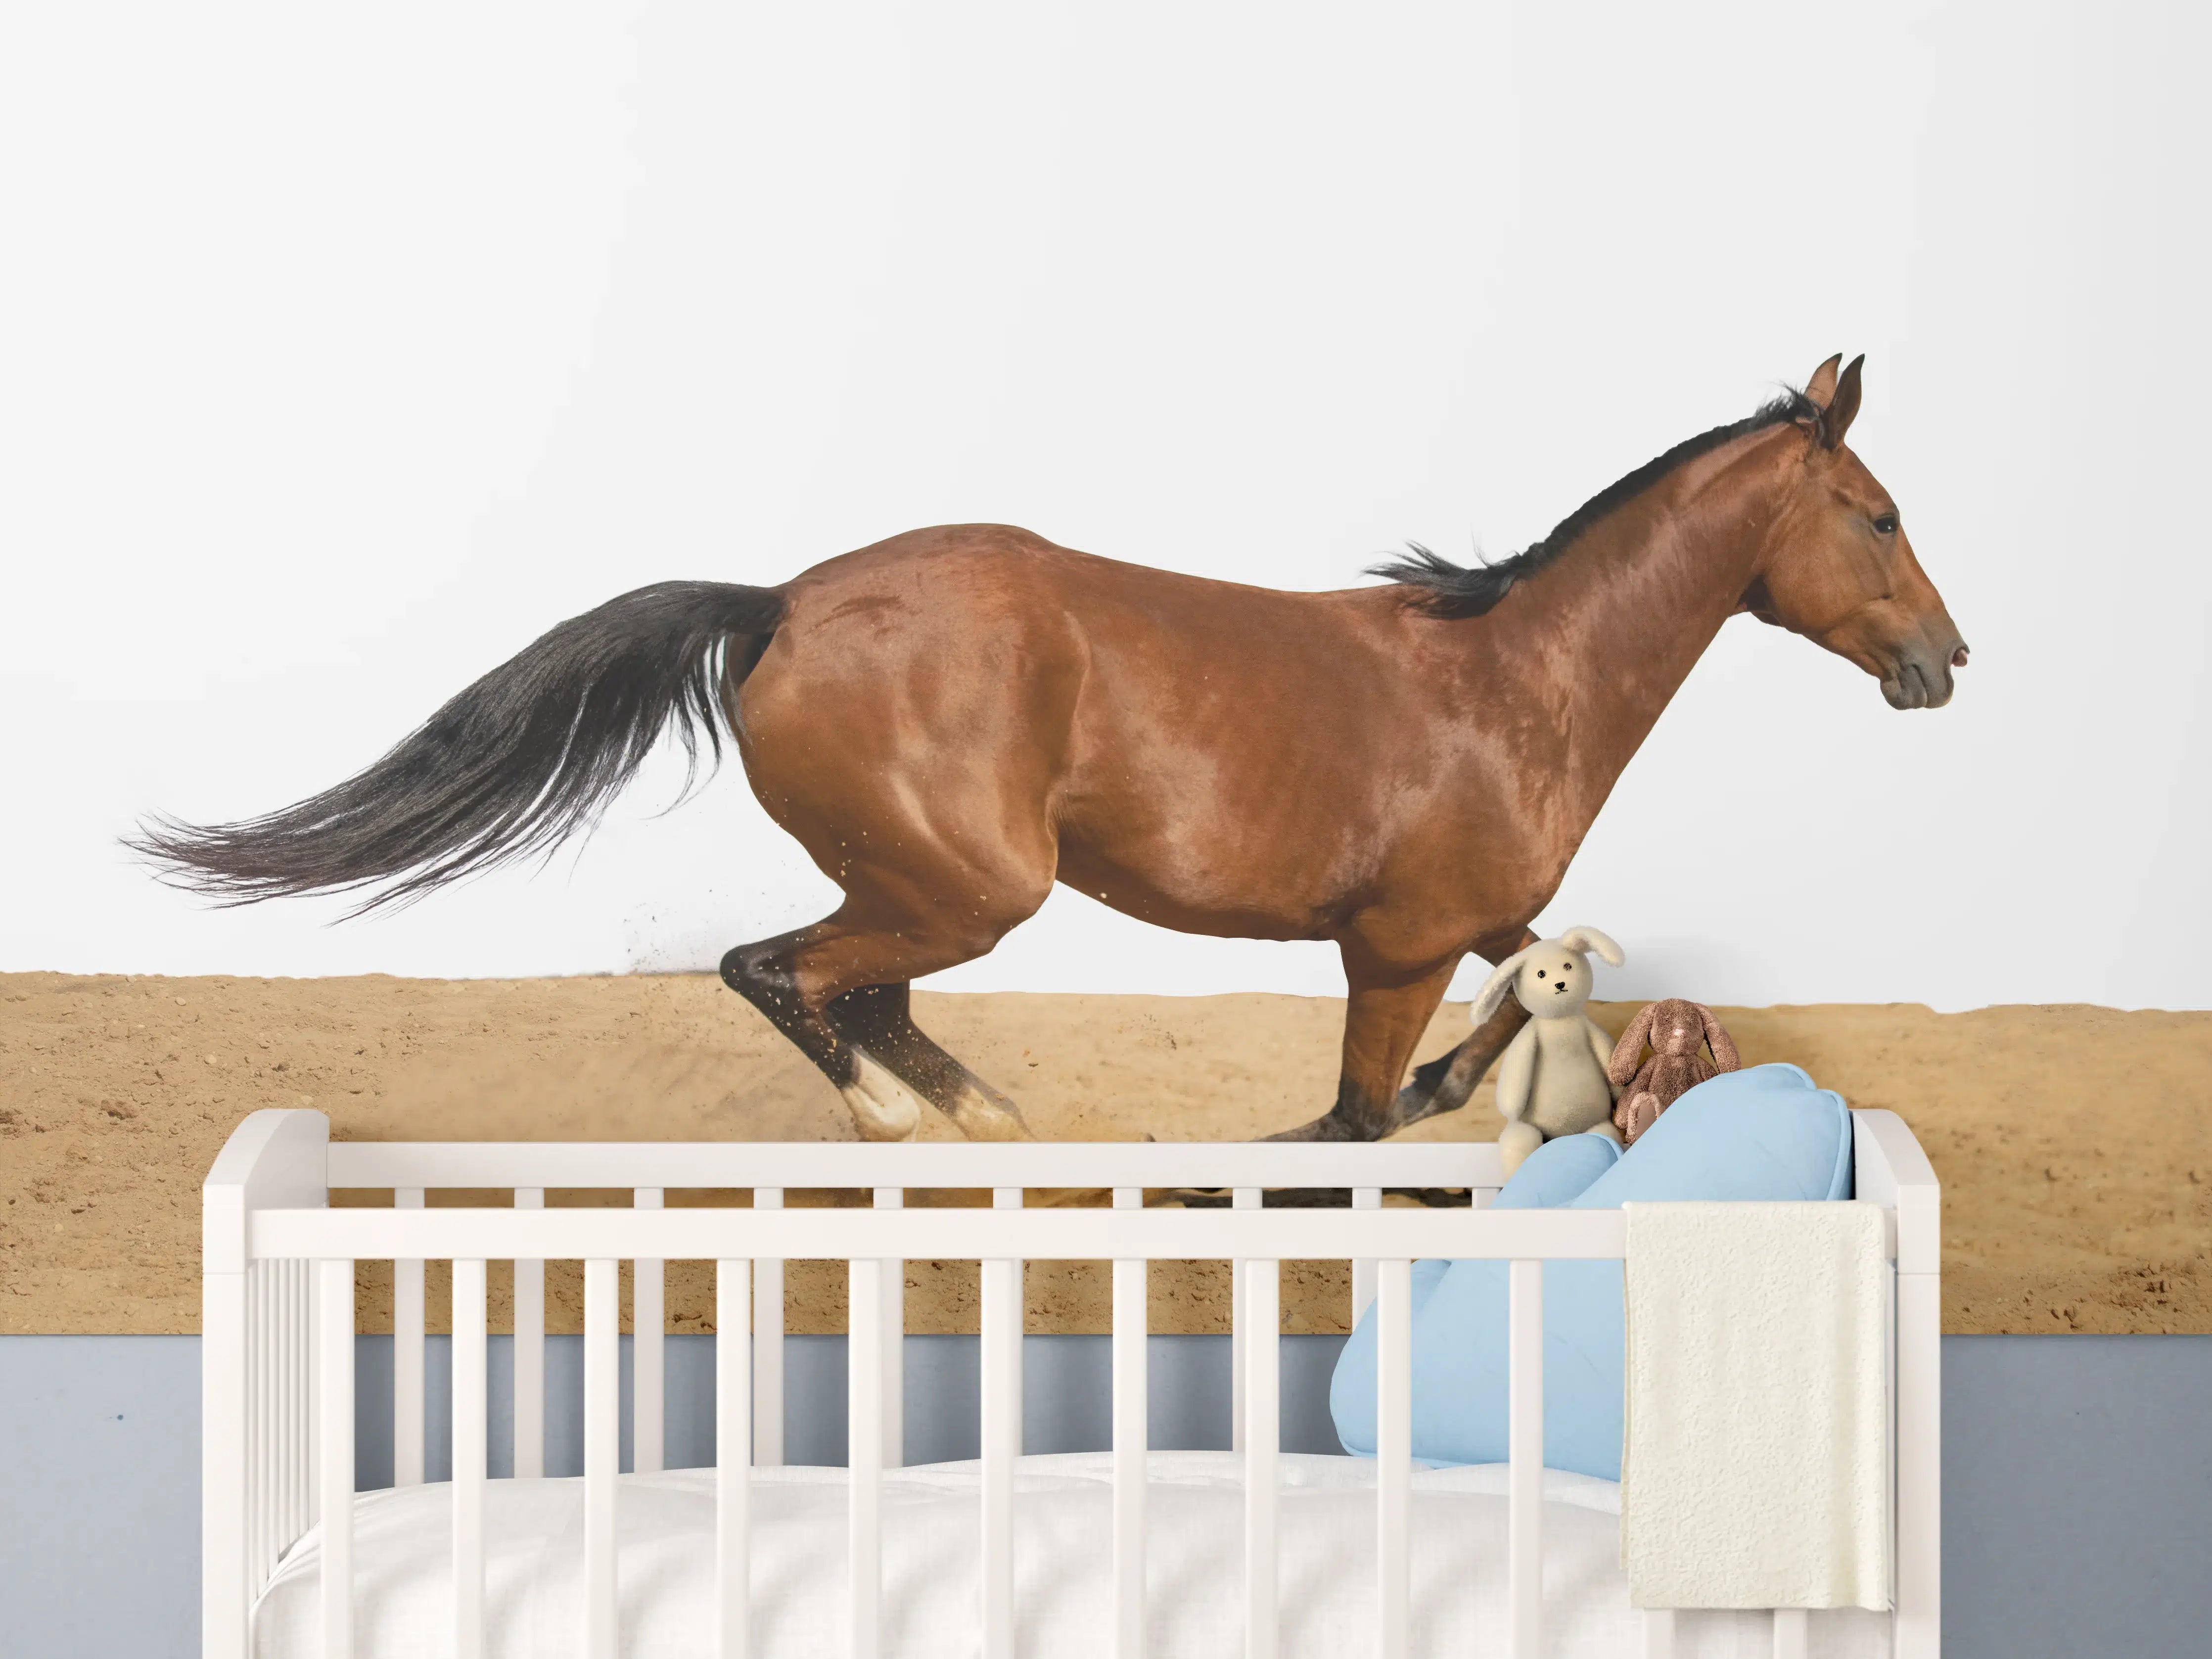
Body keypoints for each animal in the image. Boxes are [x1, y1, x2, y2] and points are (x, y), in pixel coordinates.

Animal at [135, 353, 1967, 1144]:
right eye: (1878, 516)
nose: (1944, 662)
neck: (1516, 676)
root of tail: (780, 603)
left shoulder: (1476, 918)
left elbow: (1545, 980)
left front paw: (1486, 1078)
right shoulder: (1389, 946)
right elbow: (1354, 1125)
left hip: (919, 887)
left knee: (853, 992)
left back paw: (986, 1124)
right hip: (963, 888)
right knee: (782, 974)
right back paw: (908, 1126)